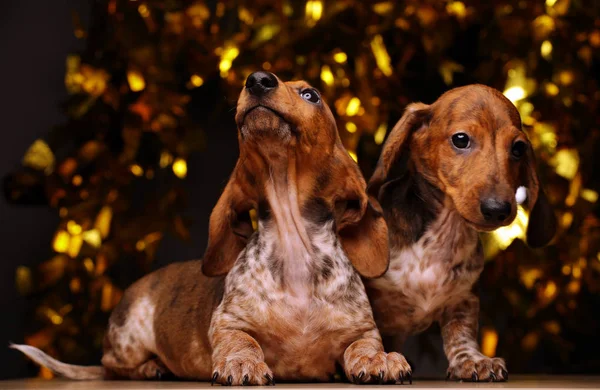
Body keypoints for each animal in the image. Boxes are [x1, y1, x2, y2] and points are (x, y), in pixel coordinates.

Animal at [11, 71, 412, 386]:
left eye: (311, 94)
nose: (258, 79)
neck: (294, 243)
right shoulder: (228, 323)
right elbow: (243, 341)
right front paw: (243, 363)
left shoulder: (362, 329)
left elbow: (363, 345)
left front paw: (379, 360)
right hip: (127, 343)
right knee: (110, 366)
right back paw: (152, 367)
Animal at [366, 84, 556, 380]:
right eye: (460, 139)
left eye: (518, 148)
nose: (497, 209)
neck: (446, 230)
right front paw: (378, 360)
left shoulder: (463, 298)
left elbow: (461, 335)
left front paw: (473, 361)